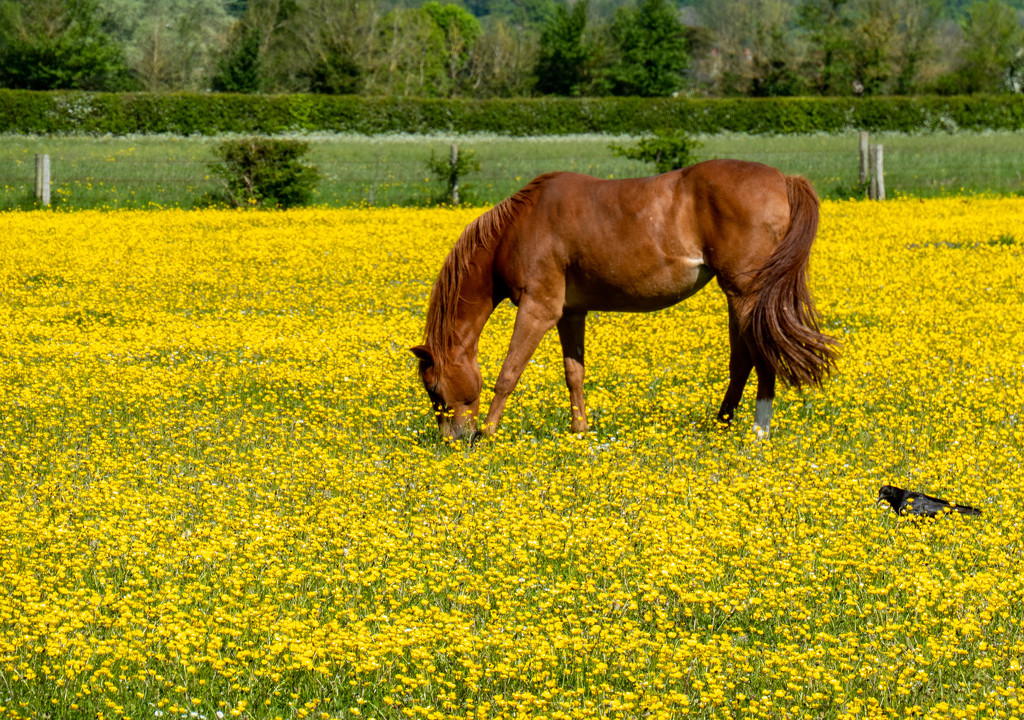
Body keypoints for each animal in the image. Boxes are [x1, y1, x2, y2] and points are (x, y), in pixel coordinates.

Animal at [411, 158, 835, 438]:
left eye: (435, 389)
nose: (453, 439)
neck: (518, 228)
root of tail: (782, 179)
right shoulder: (570, 313)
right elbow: (574, 374)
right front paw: (580, 433)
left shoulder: (538, 309)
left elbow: (508, 374)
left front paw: (488, 434)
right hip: (737, 297)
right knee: (742, 361)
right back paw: (722, 426)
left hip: (748, 295)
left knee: (762, 358)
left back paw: (758, 435)